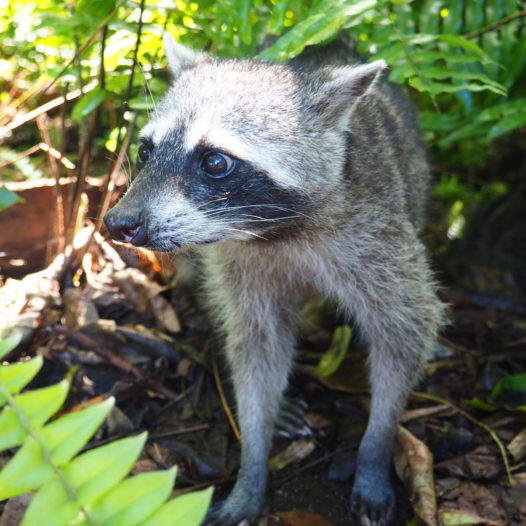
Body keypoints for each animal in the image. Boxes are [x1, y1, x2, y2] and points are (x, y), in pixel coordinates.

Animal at [104, 32, 444, 526]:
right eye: (146, 151)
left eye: (215, 162)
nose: (118, 223)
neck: (277, 231)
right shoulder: (239, 264)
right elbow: (256, 346)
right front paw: (253, 462)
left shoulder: (377, 238)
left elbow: (404, 334)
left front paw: (375, 449)